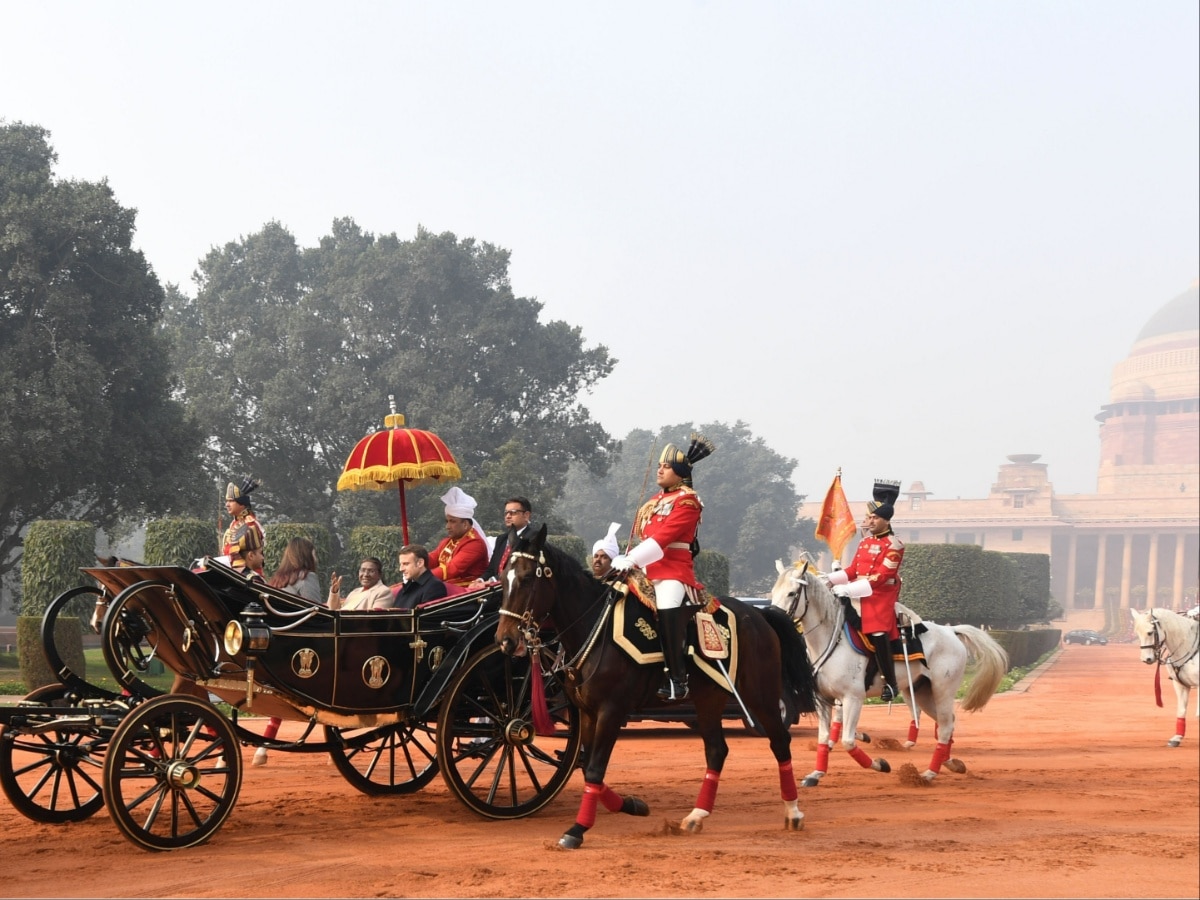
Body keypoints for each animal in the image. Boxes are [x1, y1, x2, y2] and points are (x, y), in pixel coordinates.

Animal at [489, 525, 816, 849]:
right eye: (503, 577)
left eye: (527, 578)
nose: (505, 640)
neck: (595, 629)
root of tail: (759, 614)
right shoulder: (587, 713)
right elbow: (588, 766)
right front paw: (631, 805)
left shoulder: (611, 711)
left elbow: (594, 768)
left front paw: (578, 829)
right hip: (709, 698)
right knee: (716, 750)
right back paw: (697, 816)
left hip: (760, 696)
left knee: (779, 741)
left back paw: (793, 812)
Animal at [772, 561, 1008, 787]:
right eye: (773, 593)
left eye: (792, 593)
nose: (775, 621)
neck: (831, 639)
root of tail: (950, 630)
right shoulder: (823, 699)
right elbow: (824, 737)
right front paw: (816, 773)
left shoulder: (853, 698)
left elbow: (848, 741)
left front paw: (880, 764)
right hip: (921, 692)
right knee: (947, 722)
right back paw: (949, 762)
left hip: (943, 691)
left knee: (945, 726)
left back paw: (929, 774)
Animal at [1128, 609, 1195, 748]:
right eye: (1137, 633)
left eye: (1150, 632)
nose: (1146, 659)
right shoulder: (1180, 684)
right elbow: (1181, 710)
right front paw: (1176, 738)